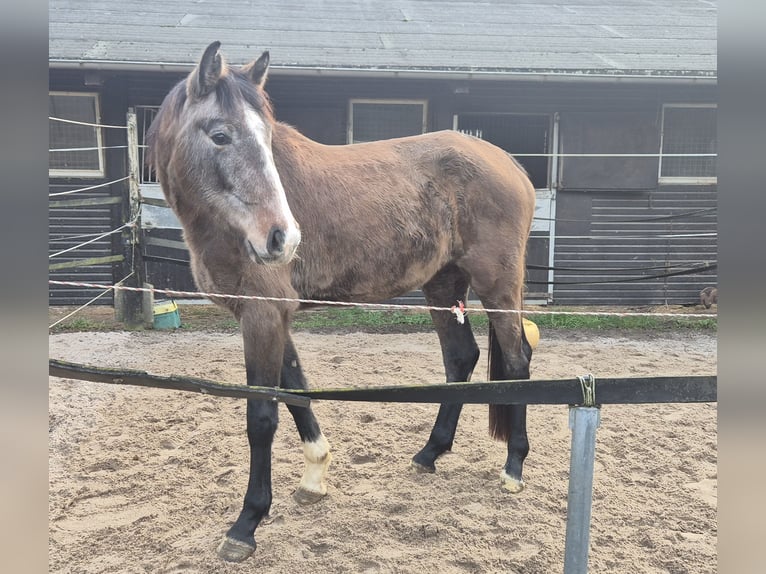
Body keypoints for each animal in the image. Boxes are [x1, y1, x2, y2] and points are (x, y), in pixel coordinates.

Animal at [147, 41, 536, 562]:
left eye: (266, 136)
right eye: (221, 135)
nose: (283, 238)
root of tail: (510, 164)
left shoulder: (263, 314)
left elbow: (263, 416)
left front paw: (246, 524)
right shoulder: (271, 316)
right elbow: (295, 392)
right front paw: (314, 477)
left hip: (497, 285)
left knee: (516, 361)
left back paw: (513, 467)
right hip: (442, 285)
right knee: (461, 359)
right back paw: (429, 454)